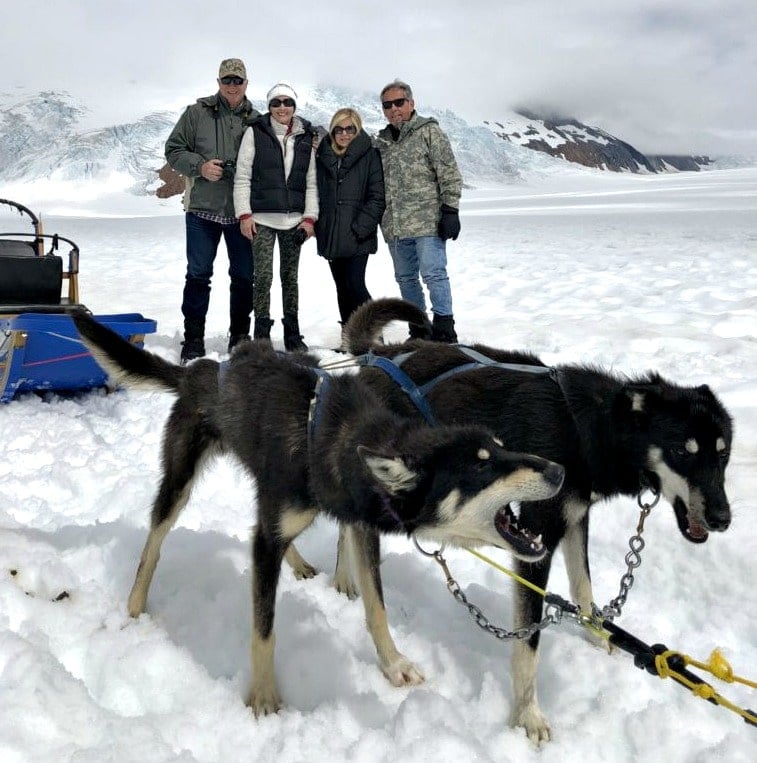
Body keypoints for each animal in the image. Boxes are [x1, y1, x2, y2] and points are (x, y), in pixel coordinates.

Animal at [72, 310, 560, 716]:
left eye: (501, 447)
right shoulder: (278, 537)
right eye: (482, 465)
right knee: (154, 543)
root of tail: (200, 370)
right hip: (180, 481)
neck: (337, 440)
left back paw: (298, 562)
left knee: (263, 531)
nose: (559, 469)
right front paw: (263, 697)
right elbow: (264, 628)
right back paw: (134, 609)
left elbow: (376, 606)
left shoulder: (360, 527)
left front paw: (393, 663)